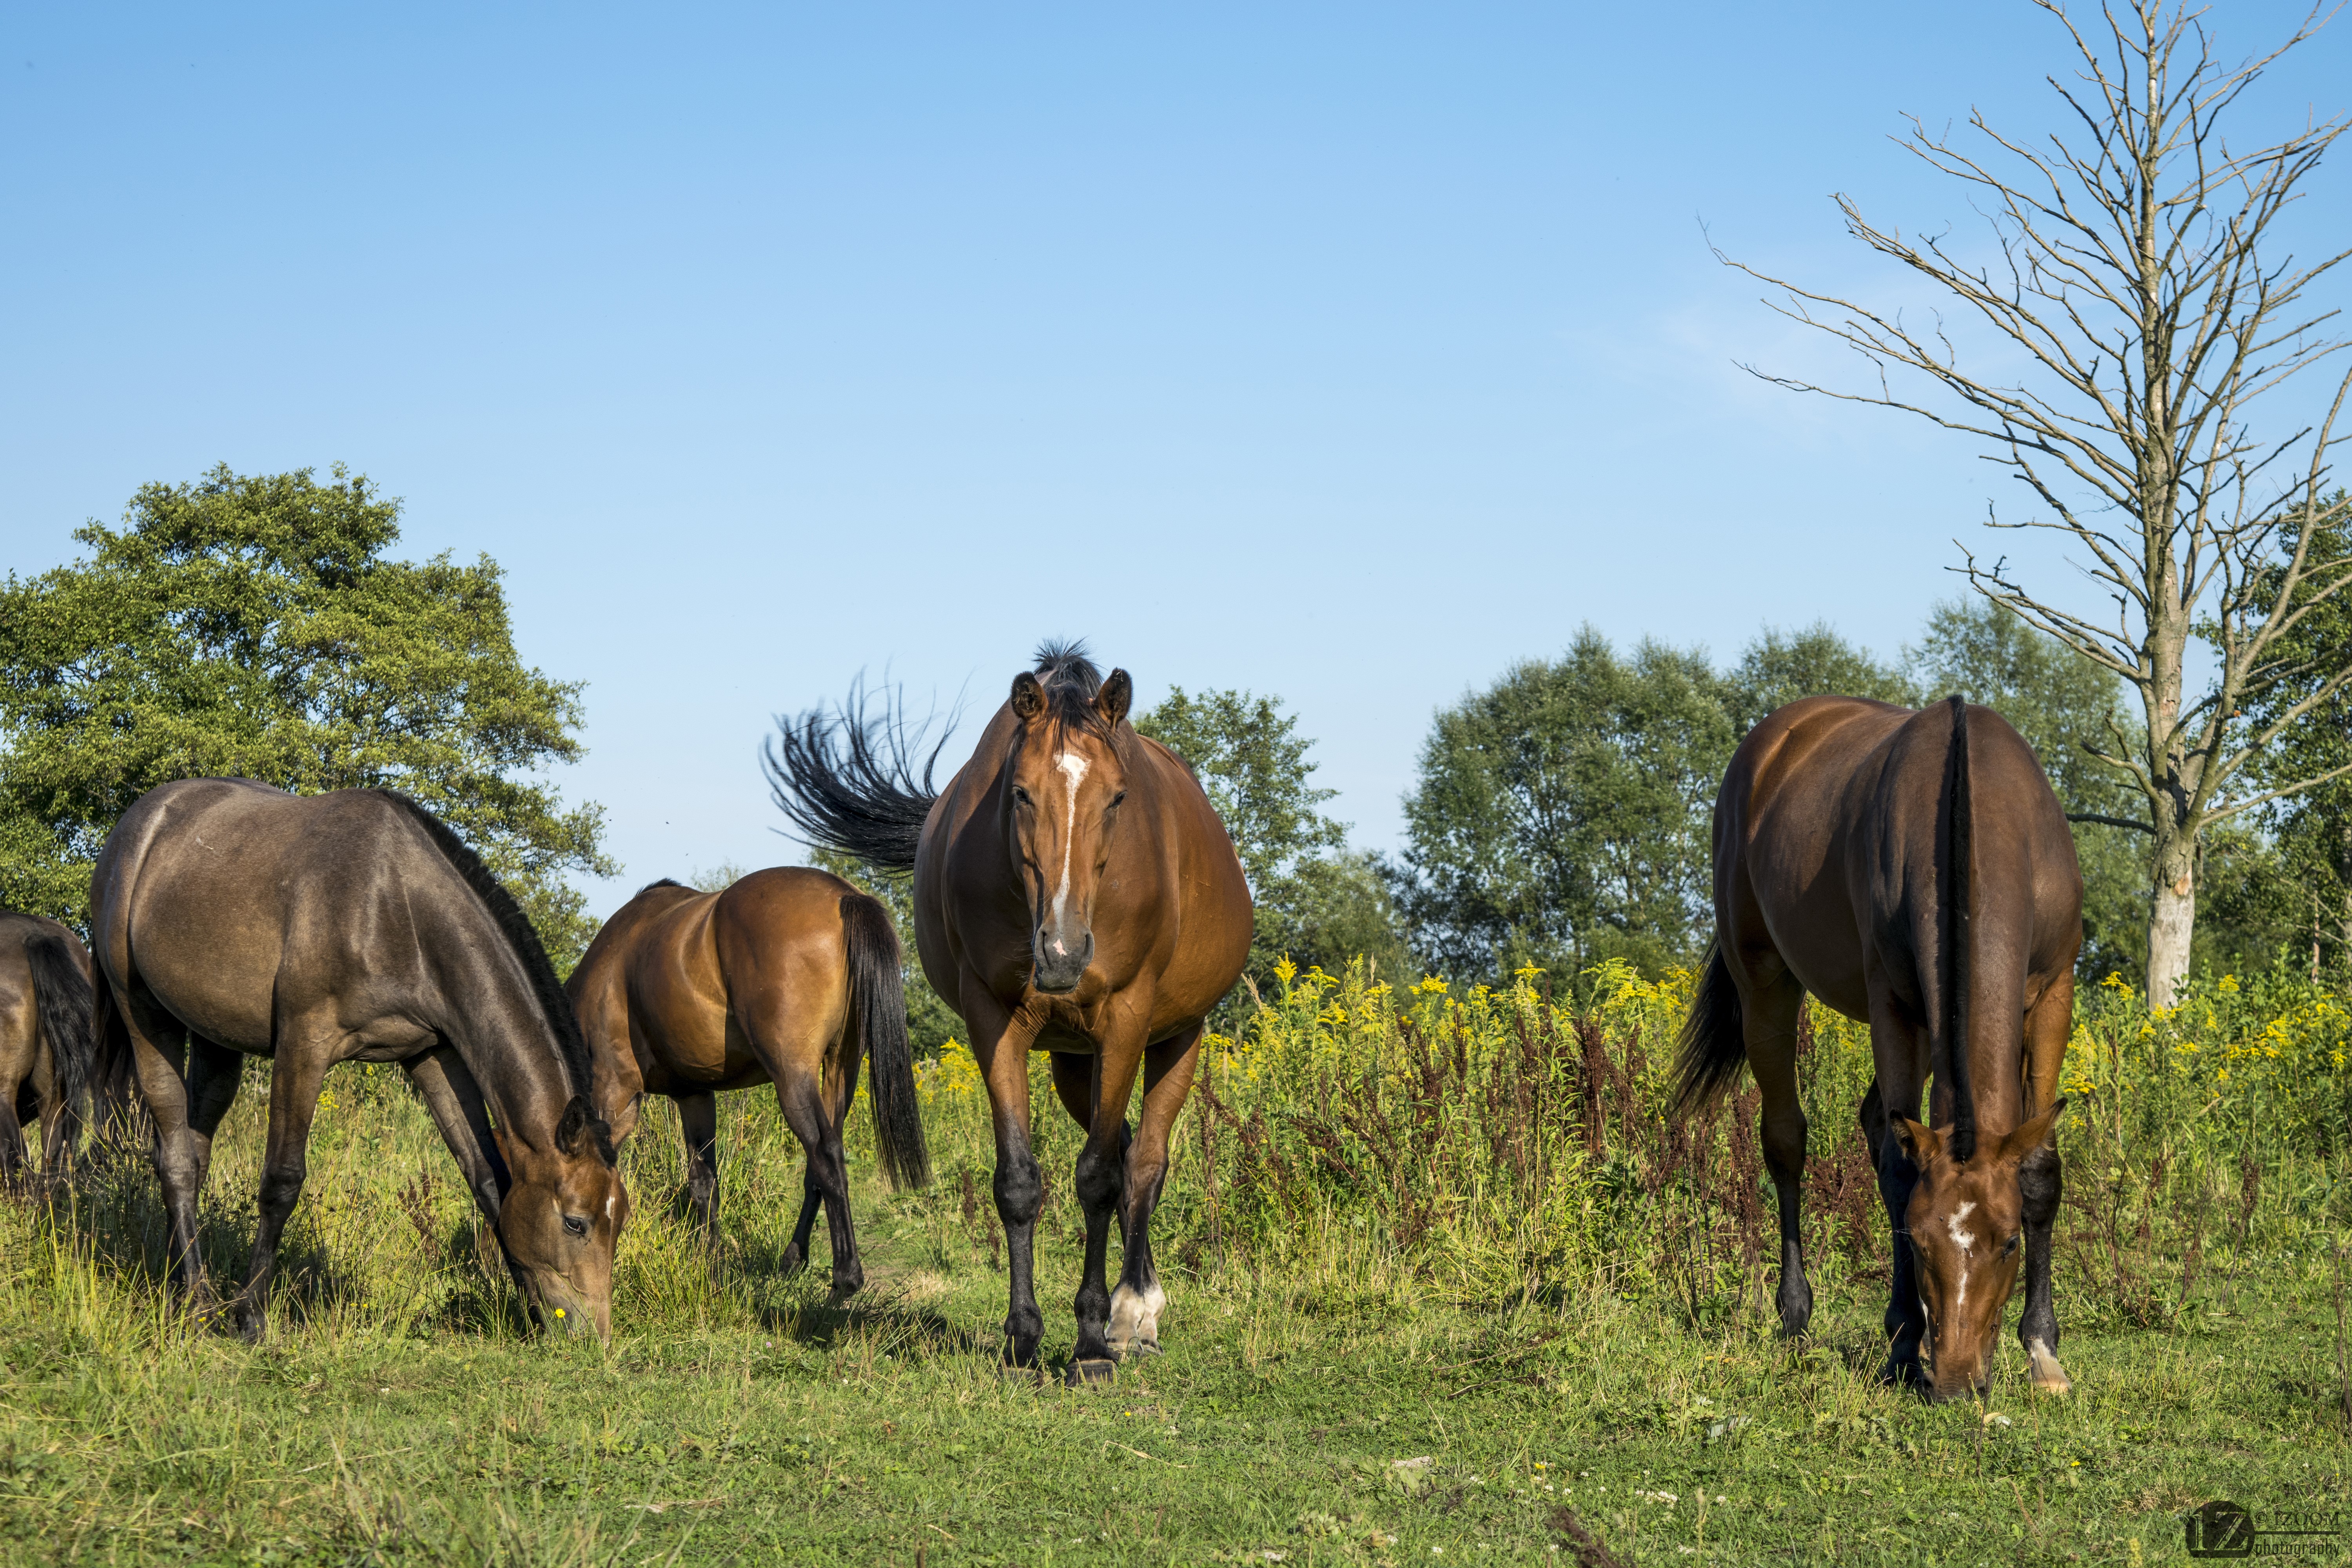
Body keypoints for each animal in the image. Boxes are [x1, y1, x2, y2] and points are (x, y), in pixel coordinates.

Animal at [89, 779, 629, 1342]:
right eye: (576, 1222)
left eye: (621, 1219)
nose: (594, 1337)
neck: (398, 908)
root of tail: (139, 823)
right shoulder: (304, 1043)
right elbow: (282, 1181)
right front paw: (251, 1316)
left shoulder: (433, 1054)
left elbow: (488, 1181)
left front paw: (529, 1307)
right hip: (145, 1017)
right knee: (175, 1159)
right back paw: (198, 1304)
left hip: (216, 1037)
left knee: (194, 1153)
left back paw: (183, 1286)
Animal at [566, 867, 929, 1295]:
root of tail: (844, 897)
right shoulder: (695, 1095)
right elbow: (704, 1182)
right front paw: (712, 1264)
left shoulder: (615, 1088)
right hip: (842, 1067)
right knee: (820, 1161)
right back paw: (793, 1259)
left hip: (792, 1074)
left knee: (825, 1154)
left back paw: (845, 1277)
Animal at [769, 641, 1252, 1379]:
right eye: (1020, 793)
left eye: (1119, 797)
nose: (1062, 951)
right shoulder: (994, 1020)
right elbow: (1021, 1183)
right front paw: (1024, 1335)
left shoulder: (1127, 1019)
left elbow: (1101, 1181)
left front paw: (1090, 1344)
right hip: (1076, 1065)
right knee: (1125, 1144)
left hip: (1179, 1037)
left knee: (1144, 1164)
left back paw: (1134, 1311)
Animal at [1674, 695, 2076, 1402]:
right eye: (1916, 1242)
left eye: (2007, 1244)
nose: (1956, 1382)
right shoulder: (1892, 1002)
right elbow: (1896, 1168)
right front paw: (1903, 1345)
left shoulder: (2056, 991)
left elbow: (2041, 1170)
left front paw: (2043, 1349)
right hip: (1764, 982)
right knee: (1786, 1140)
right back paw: (1796, 1316)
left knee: (1870, 1119)